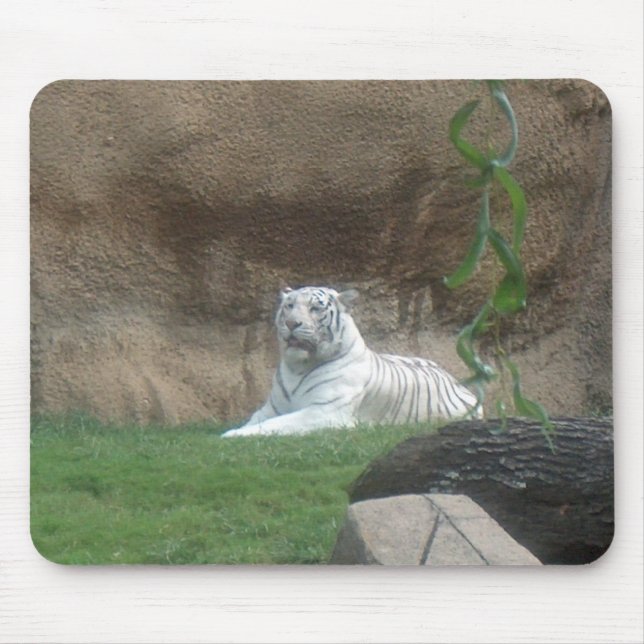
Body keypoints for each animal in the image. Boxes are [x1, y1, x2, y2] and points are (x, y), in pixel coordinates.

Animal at [221, 286, 481, 437]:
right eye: (290, 306)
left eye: (315, 308)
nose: (291, 323)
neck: (297, 367)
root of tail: (458, 381)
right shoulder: (270, 408)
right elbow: (255, 421)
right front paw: (235, 430)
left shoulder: (324, 412)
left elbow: (276, 425)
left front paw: (230, 436)